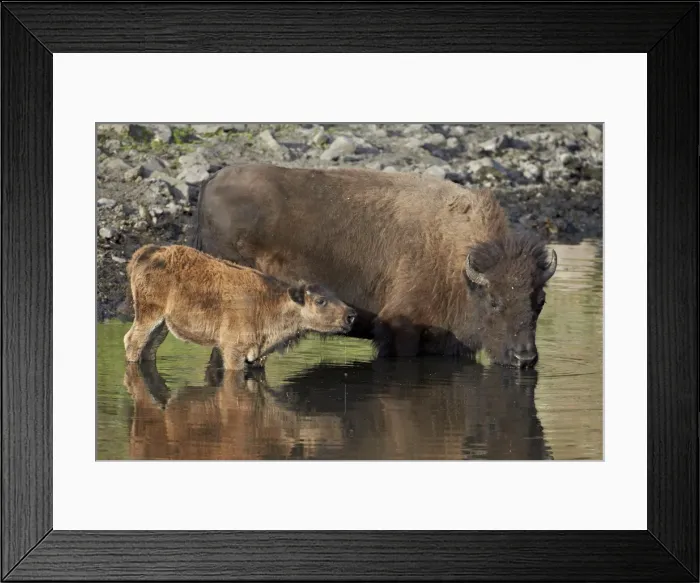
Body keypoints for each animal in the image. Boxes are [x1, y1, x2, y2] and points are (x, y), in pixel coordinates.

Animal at [124, 244, 356, 370]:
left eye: (336, 295)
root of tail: (147, 252)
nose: (351, 315)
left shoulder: (259, 357)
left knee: (149, 347)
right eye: (320, 301)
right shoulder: (233, 351)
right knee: (133, 340)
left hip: (163, 324)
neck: (268, 303)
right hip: (148, 315)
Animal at [192, 164, 557, 368]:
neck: (456, 263)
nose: (525, 359)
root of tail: (209, 183)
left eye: (540, 302)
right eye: (494, 300)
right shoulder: (401, 330)